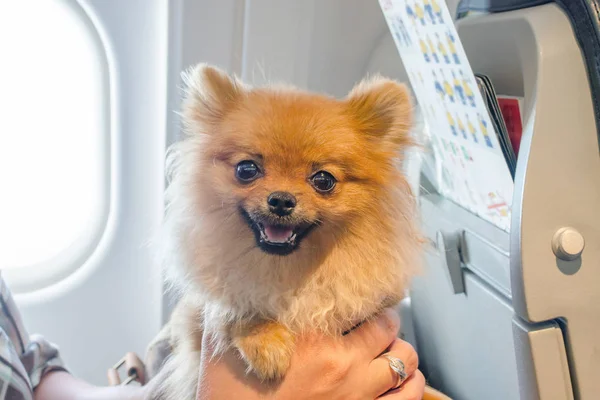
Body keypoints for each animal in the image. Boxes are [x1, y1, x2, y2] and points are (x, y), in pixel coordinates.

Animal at [150, 64, 422, 398]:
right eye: (246, 169)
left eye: (323, 180)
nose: (281, 199)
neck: (289, 272)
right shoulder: (201, 313)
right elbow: (234, 306)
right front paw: (266, 341)